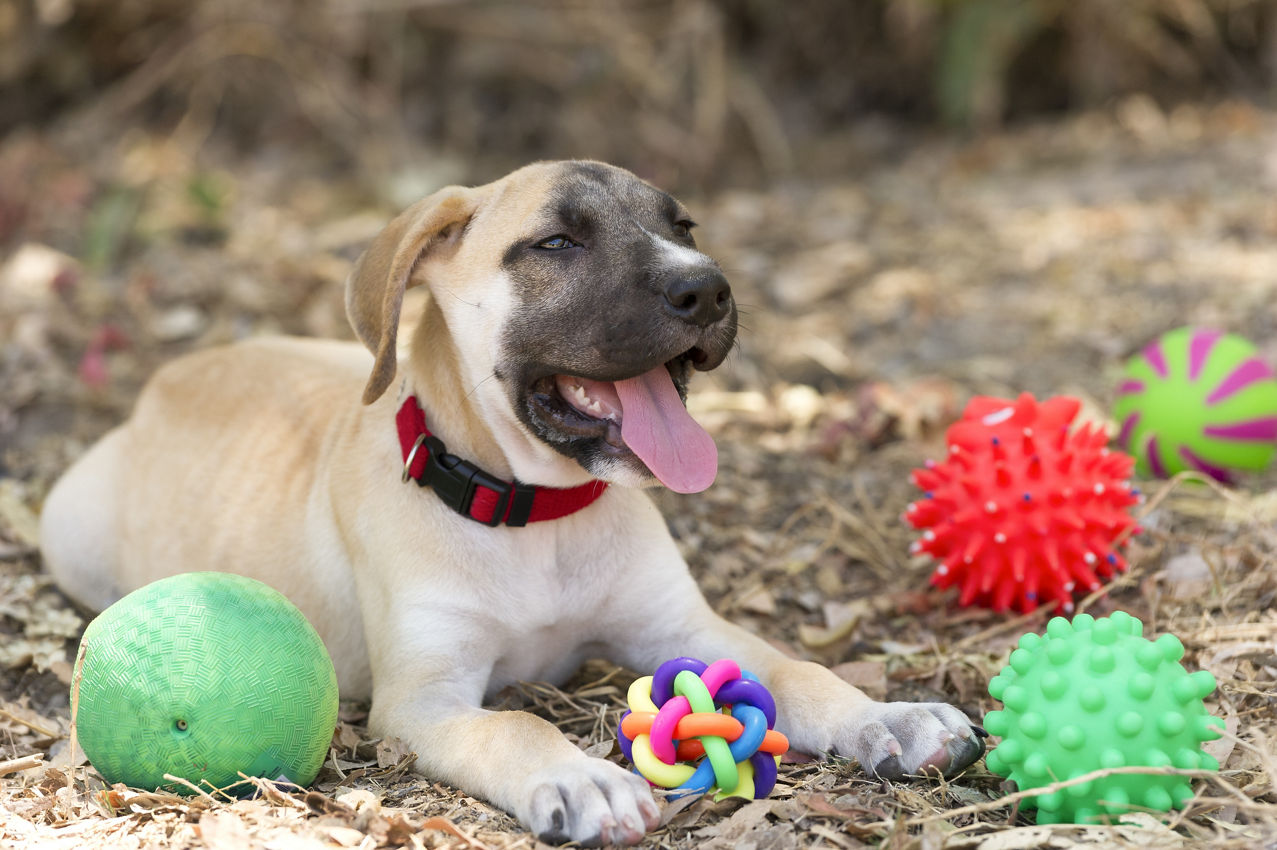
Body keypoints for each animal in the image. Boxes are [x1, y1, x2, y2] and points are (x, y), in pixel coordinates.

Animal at [37, 158, 975, 842]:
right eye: (556, 242)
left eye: (683, 228)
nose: (707, 288)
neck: (535, 515)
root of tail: (170, 375)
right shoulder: (422, 702)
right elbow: (512, 727)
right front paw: (582, 776)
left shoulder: (684, 626)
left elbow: (794, 669)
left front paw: (886, 716)